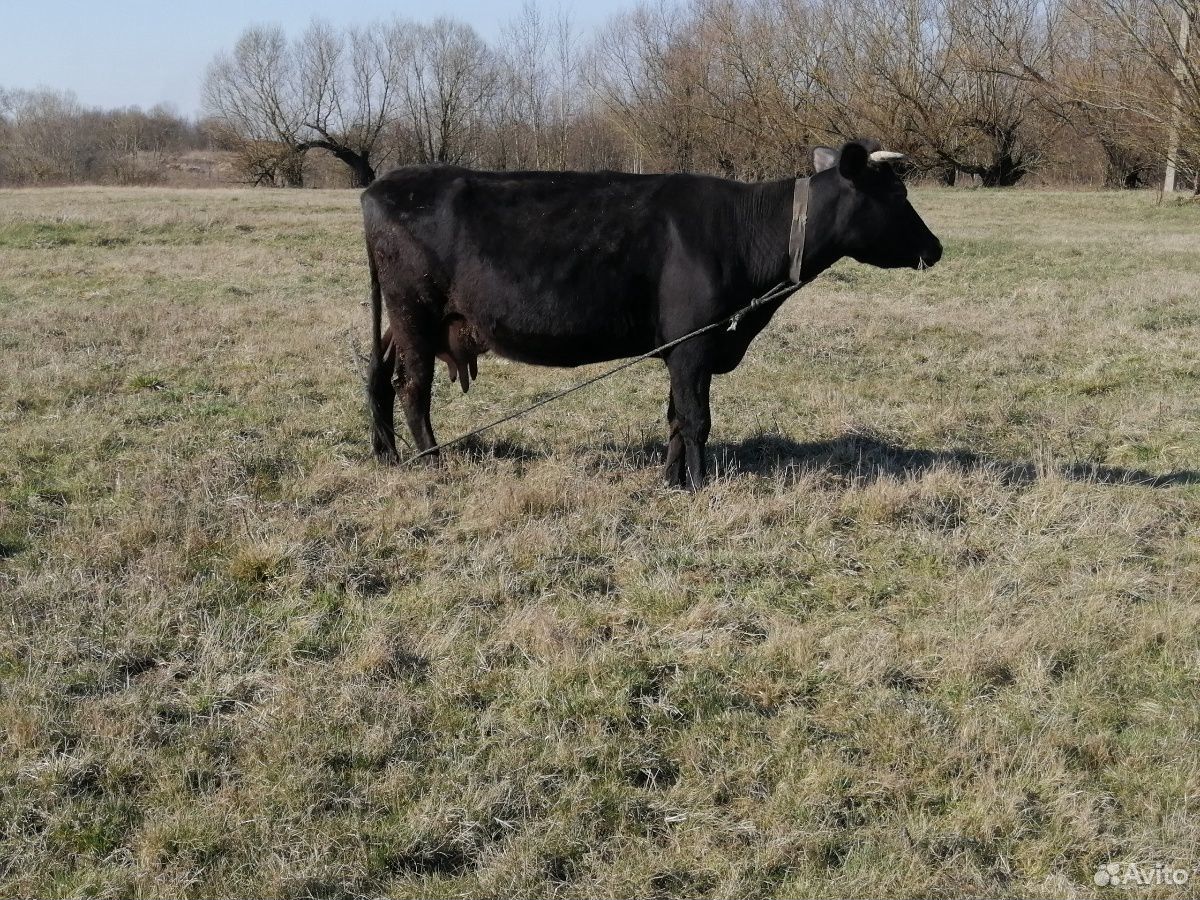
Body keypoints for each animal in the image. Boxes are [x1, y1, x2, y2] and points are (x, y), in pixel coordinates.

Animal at [360, 140, 940, 489]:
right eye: (898, 194)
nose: (935, 247)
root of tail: (379, 186)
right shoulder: (694, 342)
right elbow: (697, 418)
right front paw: (702, 486)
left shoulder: (687, 346)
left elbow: (676, 417)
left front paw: (671, 480)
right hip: (414, 311)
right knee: (413, 386)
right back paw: (431, 462)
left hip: (403, 320)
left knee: (379, 377)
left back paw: (387, 454)